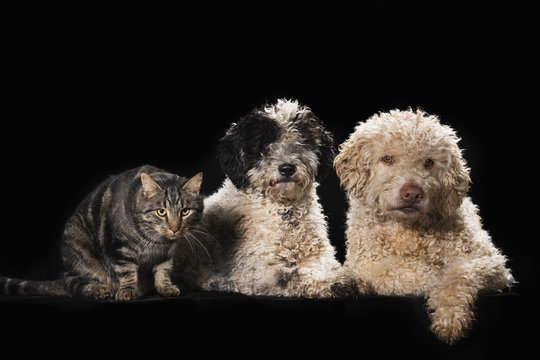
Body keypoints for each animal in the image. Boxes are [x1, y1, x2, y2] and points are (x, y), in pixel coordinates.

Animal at [0, 165, 202, 300]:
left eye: (185, 211)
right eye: (161, 212)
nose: (174, 228)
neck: (156, 241)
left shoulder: (166, 254)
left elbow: (163, 270)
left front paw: (165, 287)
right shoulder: (120, 247)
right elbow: (126, 271)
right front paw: (128, 290)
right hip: (79, 247)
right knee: (74, 283)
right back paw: (100, 289)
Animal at [334, 109, 516, 344]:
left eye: (429, 162)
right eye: (387, 158)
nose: (412, 193)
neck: (410, 231)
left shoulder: (491, 263)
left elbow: (458, 273)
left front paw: (450, 317)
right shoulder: (368, 265)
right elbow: (412, 274)